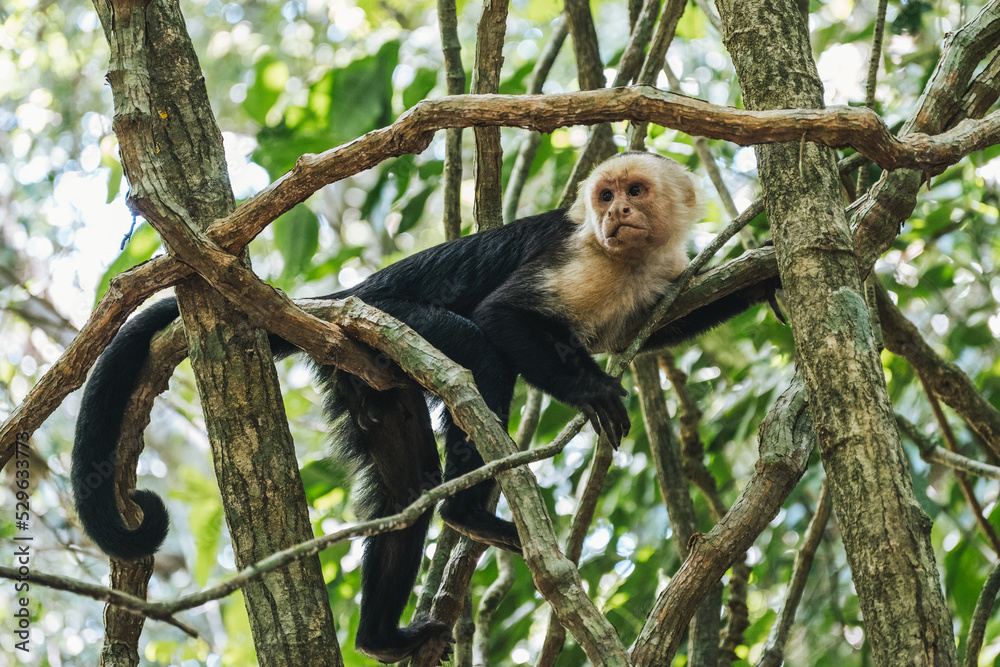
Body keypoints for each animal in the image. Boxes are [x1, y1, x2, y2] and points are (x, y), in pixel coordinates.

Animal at [72, 151, 778, 663]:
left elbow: (657, 327)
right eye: (606, 196)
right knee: (479, 357)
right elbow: (501, 319)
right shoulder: (581, 257)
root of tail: (343, 299)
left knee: (406, 486)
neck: (624, 258)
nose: (617, 212)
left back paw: (382, 634)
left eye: (635, 190)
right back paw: (468, 514)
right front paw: (593, 391)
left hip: (366, 378)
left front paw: (769, 276)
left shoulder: (651, 279)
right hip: (388, 323)